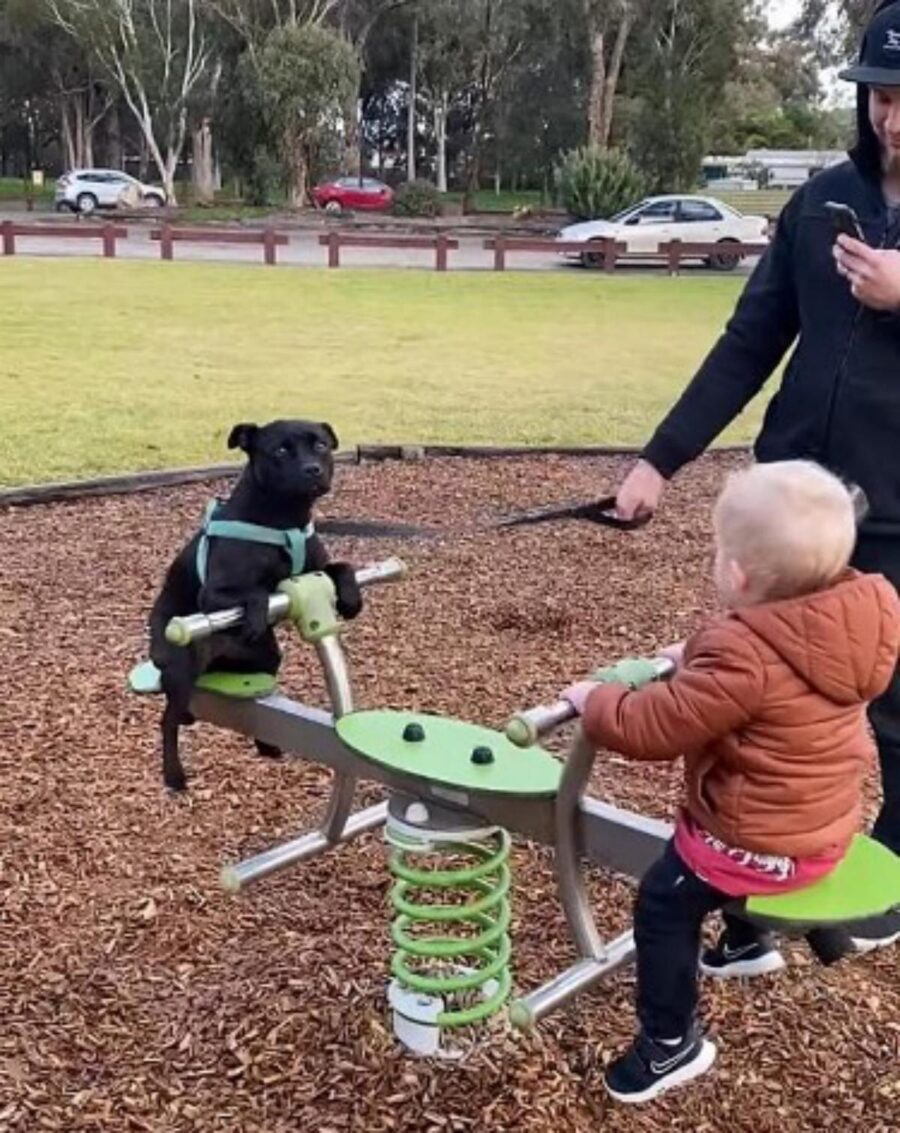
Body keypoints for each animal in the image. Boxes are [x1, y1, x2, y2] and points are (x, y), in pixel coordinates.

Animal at [148, 416, 360, 788]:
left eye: (320, 445)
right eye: (280, 450)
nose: (313, 469)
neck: (284, 519)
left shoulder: (316, 568)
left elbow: (341, 567)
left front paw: (351, 596)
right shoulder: (214, 593)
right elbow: (255, 592)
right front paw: (258, 611)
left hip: (265, 659)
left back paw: (267, 745)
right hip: (181, 665)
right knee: (169, 720)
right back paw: (174, 774)